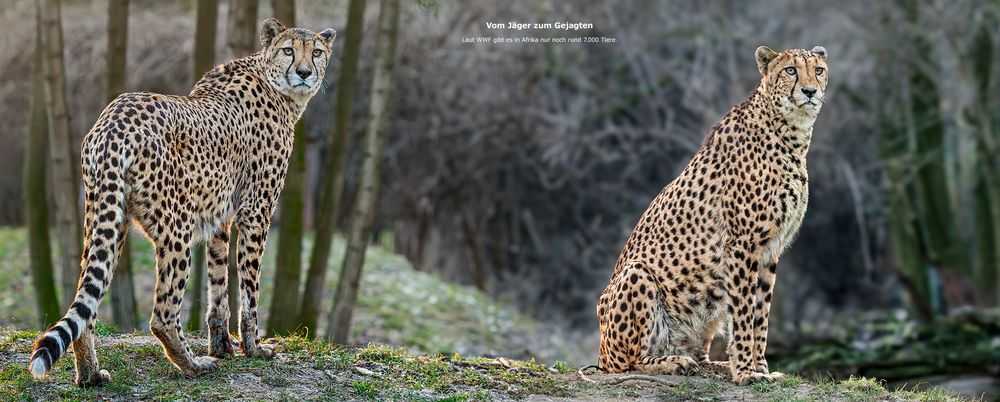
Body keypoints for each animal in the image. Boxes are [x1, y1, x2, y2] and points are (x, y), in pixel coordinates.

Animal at [29, 18, 338, 386]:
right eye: (288, 50)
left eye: (316, 52)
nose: (304, 72)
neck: (276, 85)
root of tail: (114, 117)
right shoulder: (256, 210)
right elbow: (250, 287)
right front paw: (253, 348)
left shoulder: (220, 218)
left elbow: (218, 284)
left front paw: (222, 346)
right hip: (176, 226)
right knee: (162, 313)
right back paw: (193, 365)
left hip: (106, 221)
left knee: (87, 300)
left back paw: (90, 374)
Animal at [592, 45, 828, 384]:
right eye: (791, 71)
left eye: (818, 69)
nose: (810, 91)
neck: (790, 132)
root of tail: (601, 352)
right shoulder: (742, 245)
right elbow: (744, 312)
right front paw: (745, 371)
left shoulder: (770, 250)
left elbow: (761, 315)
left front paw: (760, 367)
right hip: (636, 276)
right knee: (629, 362)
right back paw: (673, 363)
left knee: (699, 353)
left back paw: (711, 364)